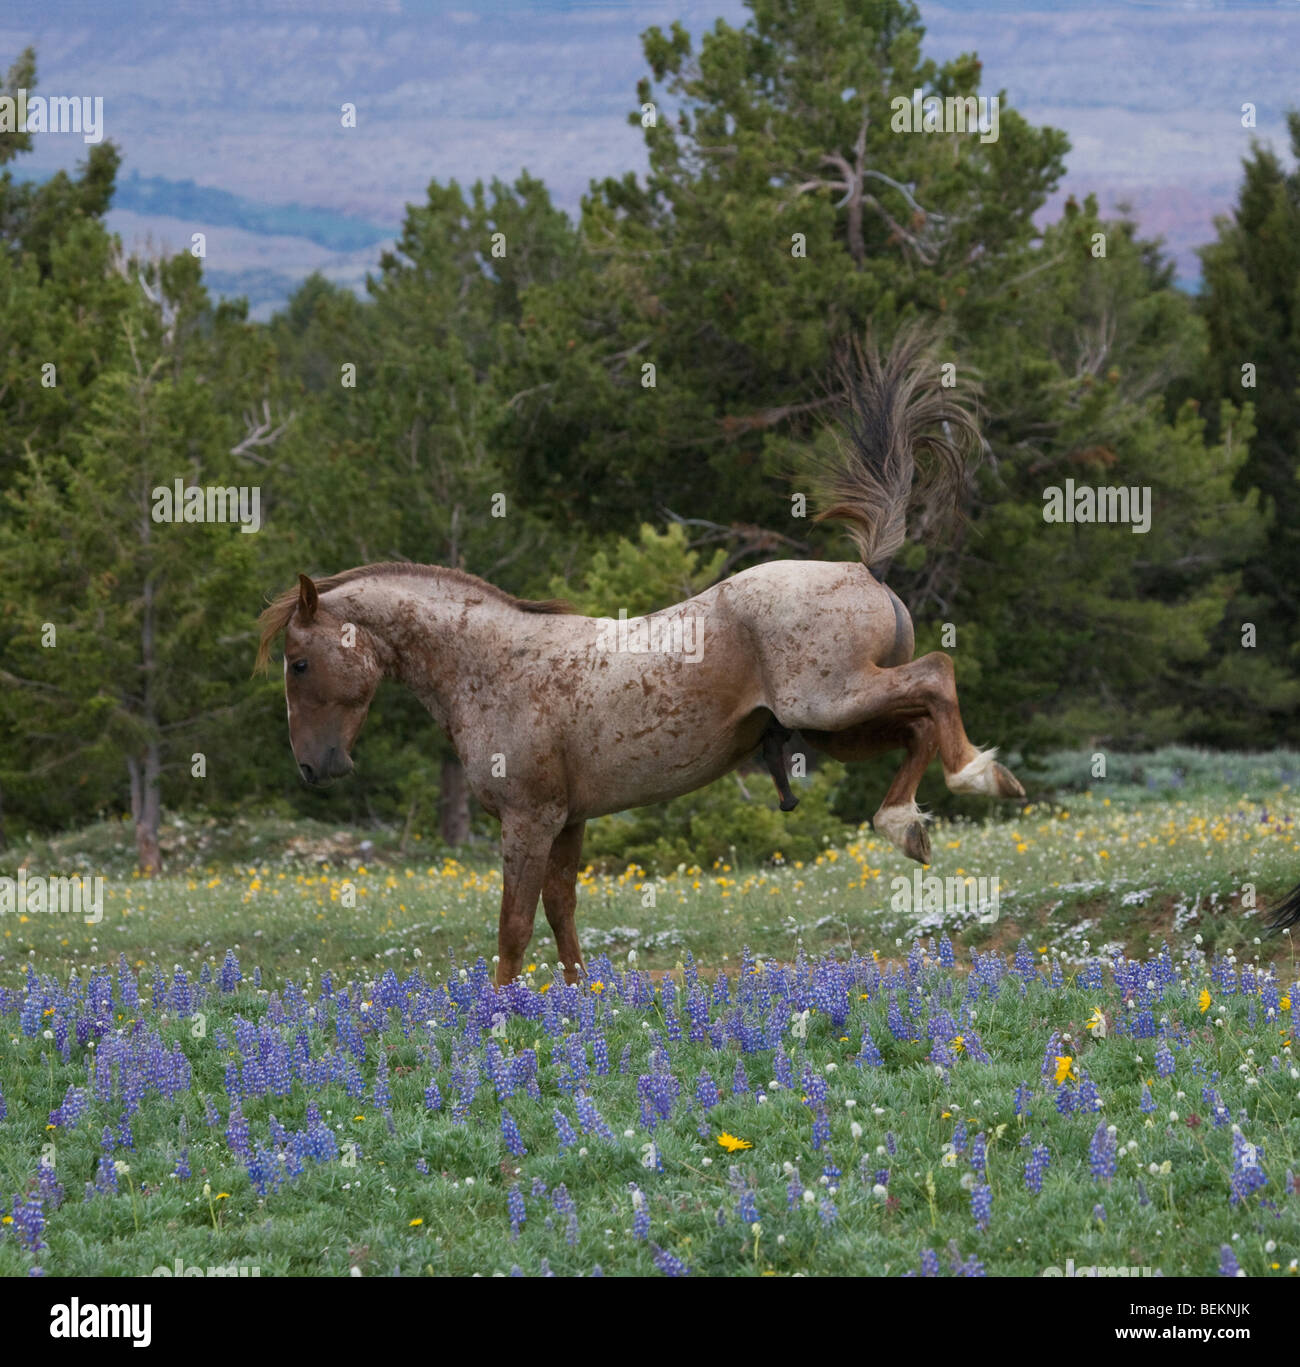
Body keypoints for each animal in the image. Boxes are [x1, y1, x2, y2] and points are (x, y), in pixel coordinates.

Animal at [256, 326, 1027, 984]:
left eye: (299, 663)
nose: (312, 765)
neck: (492, 666)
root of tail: (861, 569)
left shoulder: (529, 821)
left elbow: (513, 929)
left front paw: (500, 1020)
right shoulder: (567, 821)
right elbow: (562, 916)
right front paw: (576, 1004)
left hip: (832, 701)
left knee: (936, 678)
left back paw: (976, 777)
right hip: (838, 729)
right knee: (918, 725)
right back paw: (910, 823)